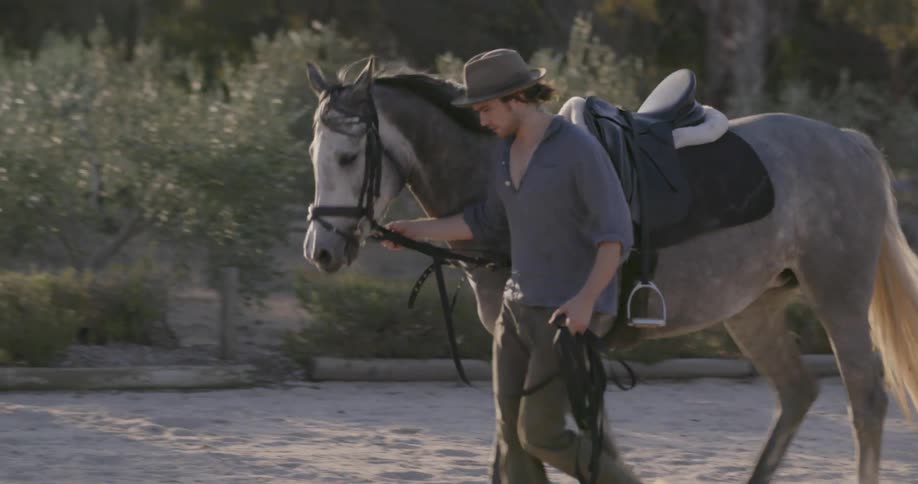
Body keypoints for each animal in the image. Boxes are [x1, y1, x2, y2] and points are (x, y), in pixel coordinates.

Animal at [300, 57, 918, 483]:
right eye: (313, 154)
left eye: (348, 157)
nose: (321, 250)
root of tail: (848, 142)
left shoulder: (569, 342)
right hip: (752, 309)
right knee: (797, 392)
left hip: (838, 298)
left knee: (866, 399)